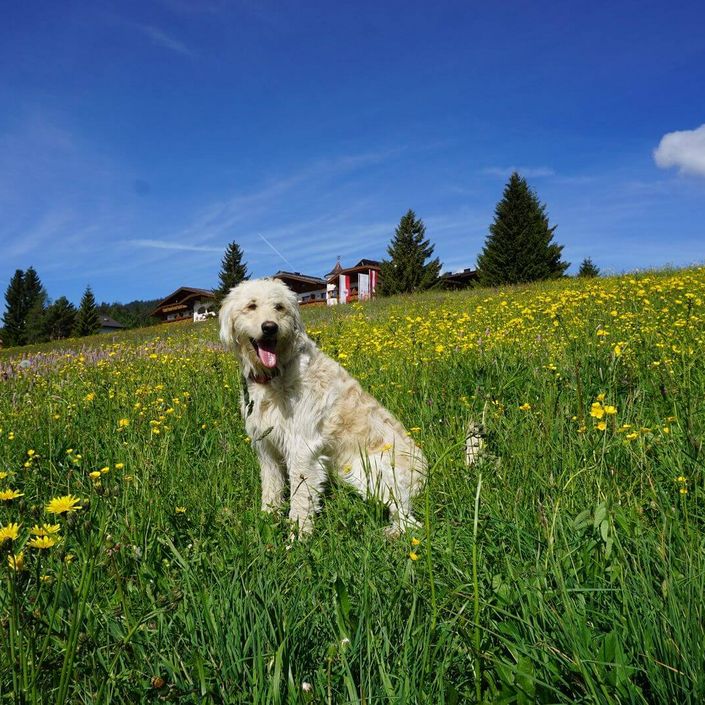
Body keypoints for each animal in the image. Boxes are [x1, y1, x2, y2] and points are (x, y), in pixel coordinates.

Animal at [217, 278, 424, 536]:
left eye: (279, 307)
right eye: (251, 306)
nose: (270, 327)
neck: (277, 373)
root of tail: (424, 474)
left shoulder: (302, 449)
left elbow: (300, 499)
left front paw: (298, 537)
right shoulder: (267, 448)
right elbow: (271, 488)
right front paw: (267, 519)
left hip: (370, 472)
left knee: (407, 518)